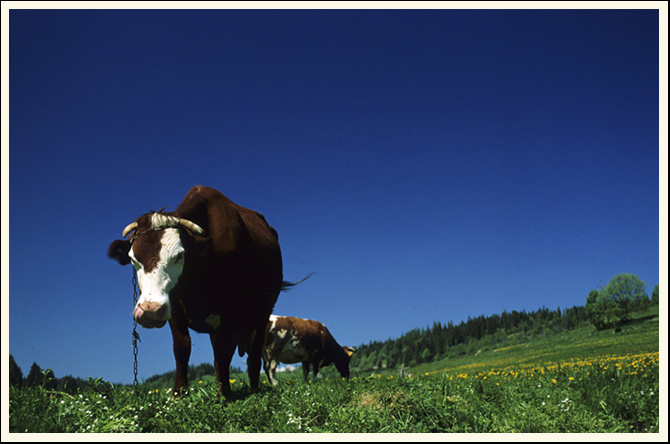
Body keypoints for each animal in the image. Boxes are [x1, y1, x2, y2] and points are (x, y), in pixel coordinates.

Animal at [108, 186, 300, 398]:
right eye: (133, 259)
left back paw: (254, 388)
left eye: (179, 256)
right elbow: (182, 348)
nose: (150, 310)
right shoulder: (175, 307)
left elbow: (225, 348)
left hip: (262, 314)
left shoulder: (233, 305)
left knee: (254, 356)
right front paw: (179, 394)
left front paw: (224, 396)